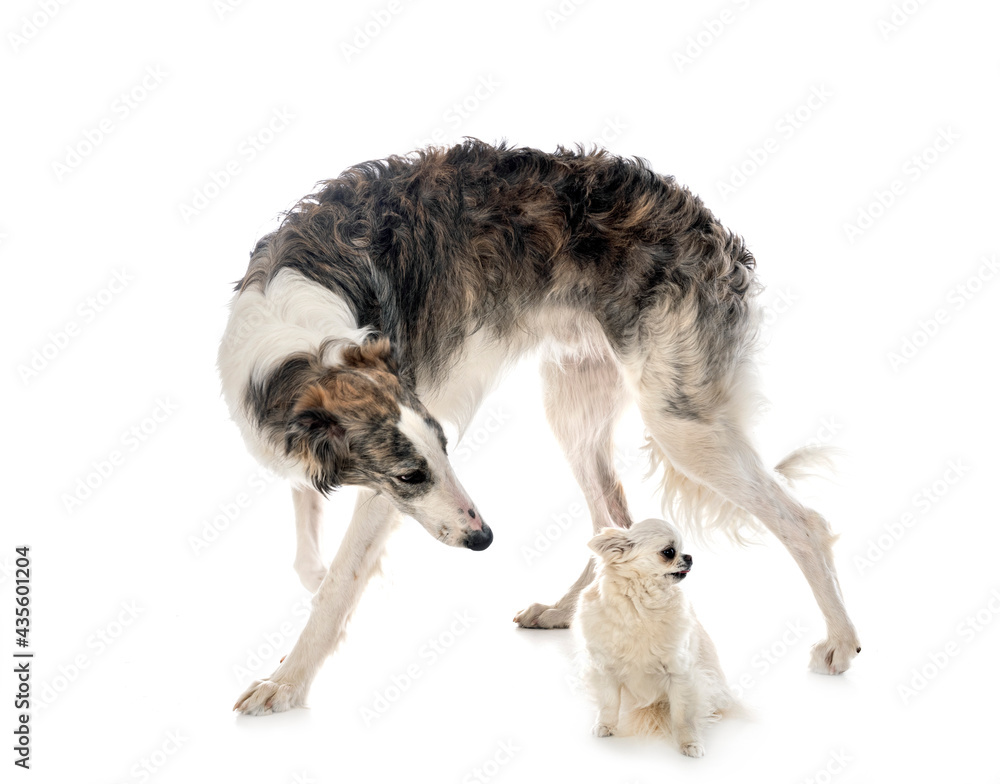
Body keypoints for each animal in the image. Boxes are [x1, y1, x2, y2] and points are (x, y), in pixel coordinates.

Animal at [219, 139, 860, 716]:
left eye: (445, 448)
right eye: (409, 474)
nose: (484, 539)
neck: (298, 335)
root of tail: (712, 227)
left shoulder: (387, 486)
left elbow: (338, 584)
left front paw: (287, 683)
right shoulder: (331, 461)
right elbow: (310, 554)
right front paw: (296, 632)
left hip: (681, 422)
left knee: (804, 523)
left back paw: (841, 641)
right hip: (574, 405)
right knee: (612, 520)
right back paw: (563, 611)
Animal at [580, 516, 736, 756]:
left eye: (682, 549)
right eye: (669, 552)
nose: (690, 557)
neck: (641, 607)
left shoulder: (680, 673)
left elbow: (682, 715)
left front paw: (689, 742)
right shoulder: (606, 669)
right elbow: (609, 703)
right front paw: (606, 725)